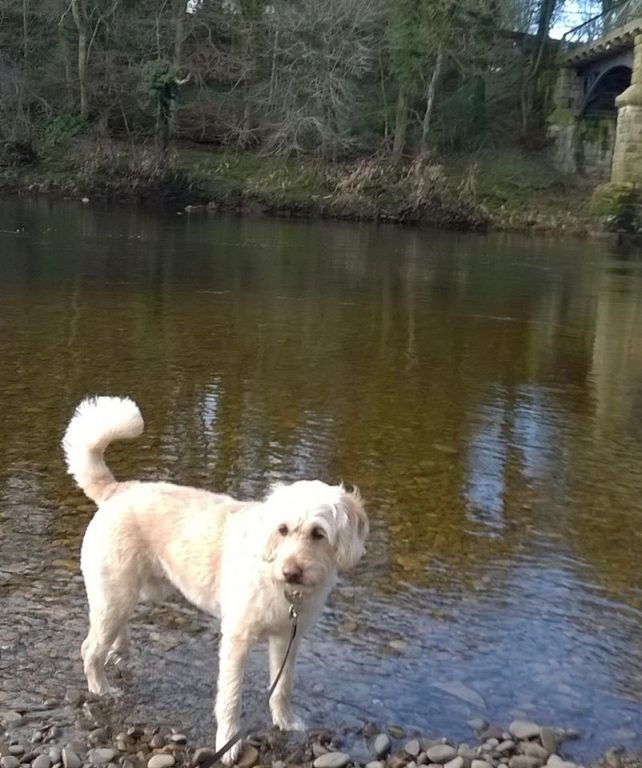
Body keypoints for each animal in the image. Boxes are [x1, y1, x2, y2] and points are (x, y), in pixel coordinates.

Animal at [63, 396, 370, 760]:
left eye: (318, 534)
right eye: (282, 529)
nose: (291, 572)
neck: (279, 586)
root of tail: (116, 490)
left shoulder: (287, 639)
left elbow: (282, 687)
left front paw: (286, 722)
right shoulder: (236, 639)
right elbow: (230, 697)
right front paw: (229, 743)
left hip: (136, 592)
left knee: (110, 632)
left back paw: (119, 651)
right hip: (115, 593)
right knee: (89, 648)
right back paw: (102, 688)